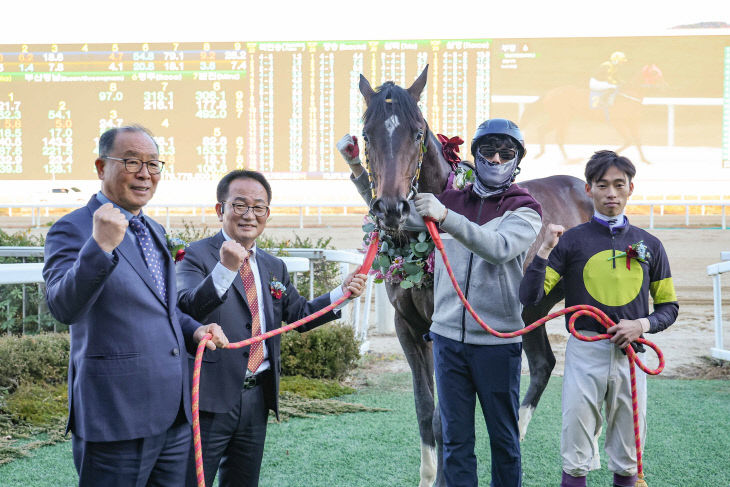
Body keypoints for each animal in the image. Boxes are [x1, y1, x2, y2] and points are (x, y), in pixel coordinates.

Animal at [356, 66, 592, 487]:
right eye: (367, 134)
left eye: (418, 132)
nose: (392, 209)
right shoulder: (407, 326)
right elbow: (424, 409)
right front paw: (429, 476)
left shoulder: (438, 331)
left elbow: (443, 419)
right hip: (529, 312)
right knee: (543, 364)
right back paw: (519, 433)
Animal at [516, 63, 664, 164]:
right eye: (654, 73)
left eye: (659, 71)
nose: (665, 84)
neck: (628, 95)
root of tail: (549, 93)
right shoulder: (617, 121)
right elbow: (629, 140)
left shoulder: (632, 121)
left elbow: (637, 140)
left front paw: (645, 160)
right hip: (561, 117)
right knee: (557, 136)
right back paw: (569, 159)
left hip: (562, 118)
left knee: (543, 130)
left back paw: (543, 153)